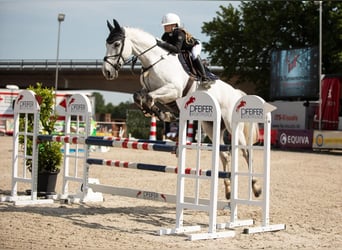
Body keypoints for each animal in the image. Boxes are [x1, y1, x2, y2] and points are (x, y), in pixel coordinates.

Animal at [103, 19, 260, 199]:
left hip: (232, 125)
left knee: (246, 153)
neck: (154, 61)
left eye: (116, 44)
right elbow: (139, 96)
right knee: (225, 154)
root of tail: (235, 93)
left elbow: (150, 97)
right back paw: (228, 189)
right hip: (211, 126)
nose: (106, 72)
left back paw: (256, 187)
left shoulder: (173, 90)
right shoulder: (151, 90)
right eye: (106, 43)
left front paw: (160, 113)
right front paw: (158, 113)